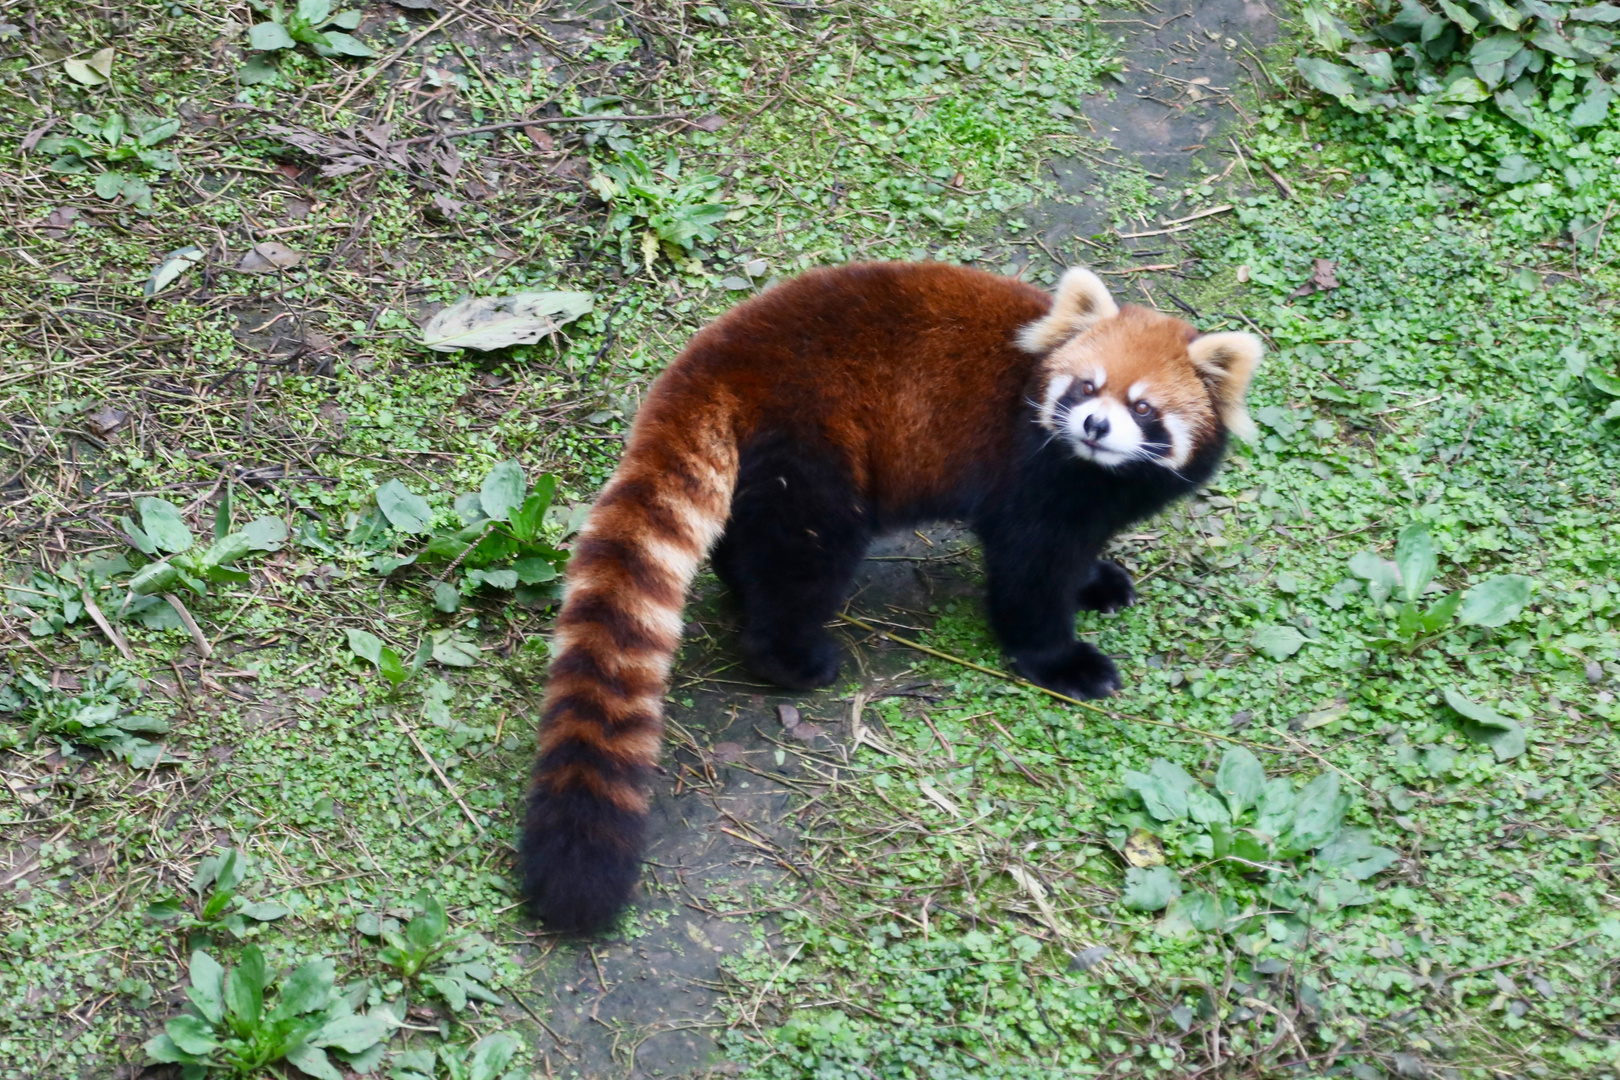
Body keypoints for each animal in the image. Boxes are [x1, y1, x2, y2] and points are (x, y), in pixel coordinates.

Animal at [524, 259, 1257, 932]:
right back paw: (793, 658)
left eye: (1143, 406)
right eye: (1087, 386)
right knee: (805, 558)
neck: (1099, 473)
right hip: (816, 445)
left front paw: (1099, 583)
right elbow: (1028, 571)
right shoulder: (1030, 473)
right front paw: (1064, 661)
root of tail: (719, 357)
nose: (1095, 426)